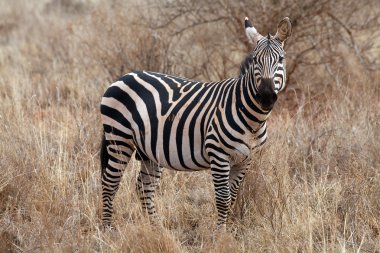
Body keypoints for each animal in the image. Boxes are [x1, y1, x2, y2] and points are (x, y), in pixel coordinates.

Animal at [99, 15, 292, 229]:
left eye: (281, 60)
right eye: (256, 60)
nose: (266, 97)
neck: (253, 120)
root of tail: (124, 77)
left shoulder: (245, 160)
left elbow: (233, 197)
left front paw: (226, 231)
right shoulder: (219, 155)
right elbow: (223, 199)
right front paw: (220, 234)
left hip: (149, 150)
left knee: (144, 185)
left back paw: (156, 227)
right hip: (119, 138)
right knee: (110, 183)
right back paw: (107, 228)